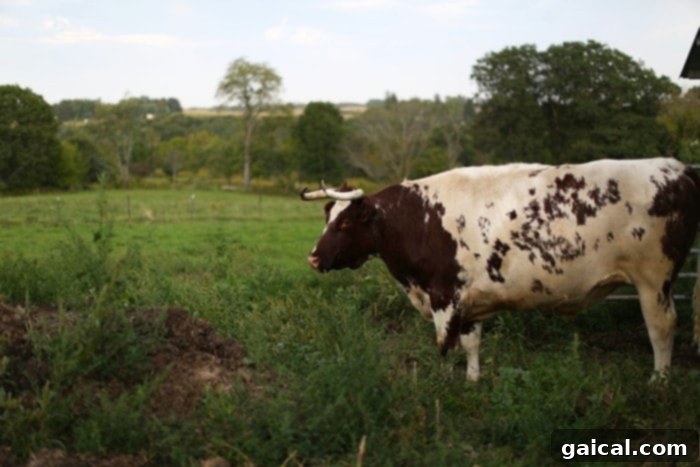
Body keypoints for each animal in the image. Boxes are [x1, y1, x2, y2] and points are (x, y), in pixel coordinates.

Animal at [300, 158, 700, 381]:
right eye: (326, 217)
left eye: (345, 223)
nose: (314, 258)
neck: (417, 218)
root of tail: (675, 167)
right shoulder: (468, 300)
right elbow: (471, 343)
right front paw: (473, 381)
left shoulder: (443, 295)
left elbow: (444, 346)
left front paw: (442, 384)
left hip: (654, 281)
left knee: (662, 328)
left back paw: (659, 381)